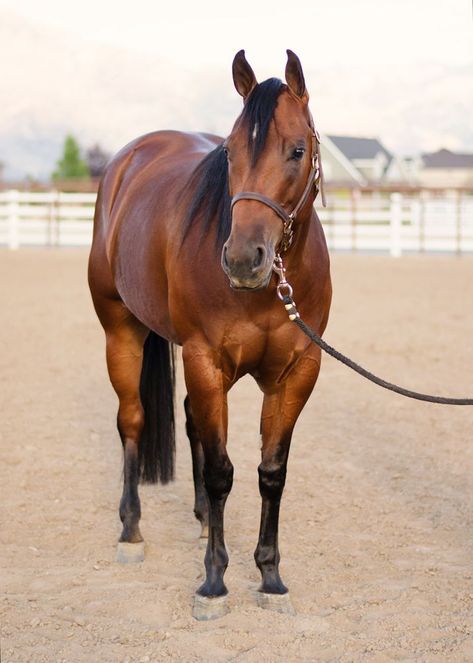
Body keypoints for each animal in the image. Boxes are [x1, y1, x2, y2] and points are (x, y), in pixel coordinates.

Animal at [88, 49, 332, 620]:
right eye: (229, 154)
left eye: (297, 149)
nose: (243, 259)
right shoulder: (205, 359)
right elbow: (223, 471)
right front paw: (214, 582)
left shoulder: (297, 373)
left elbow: (271, 471)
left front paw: (270, 577)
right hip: (120, 330)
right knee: (132, 421)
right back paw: (130, 532)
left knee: (192, 420)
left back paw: (201, 521)